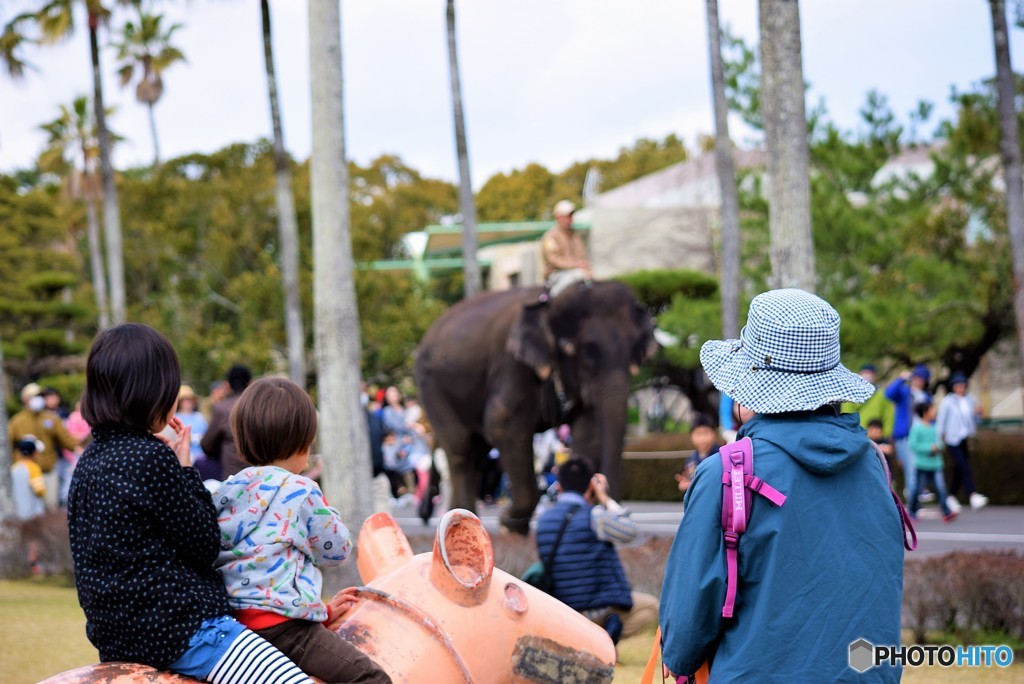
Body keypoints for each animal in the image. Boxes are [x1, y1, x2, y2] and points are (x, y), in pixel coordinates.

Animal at [413, 278, 655, 532]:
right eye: (579, 351)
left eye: (635, 352)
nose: (605, 500)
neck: (553, 299)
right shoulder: (512, 365)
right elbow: (502, 425)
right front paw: (510, 523)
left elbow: (588, 432)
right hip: (431, 385)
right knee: (460, 448)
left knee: (476, 451)